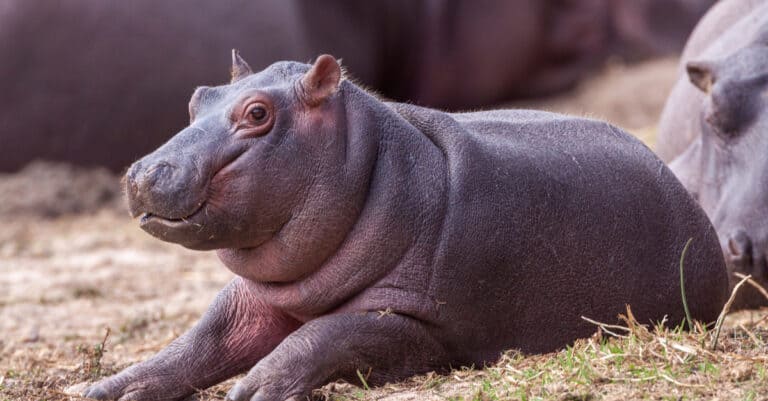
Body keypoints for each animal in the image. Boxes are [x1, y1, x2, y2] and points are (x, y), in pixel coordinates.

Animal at [84, 53, 728, 400]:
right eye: (199, 96)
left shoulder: (420, 322)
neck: (368, 160)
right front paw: (112, 386)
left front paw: (257, 386)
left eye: (259, 113)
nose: (142, 172)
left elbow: (328, 333)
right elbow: (205, 336)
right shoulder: (259, 297)